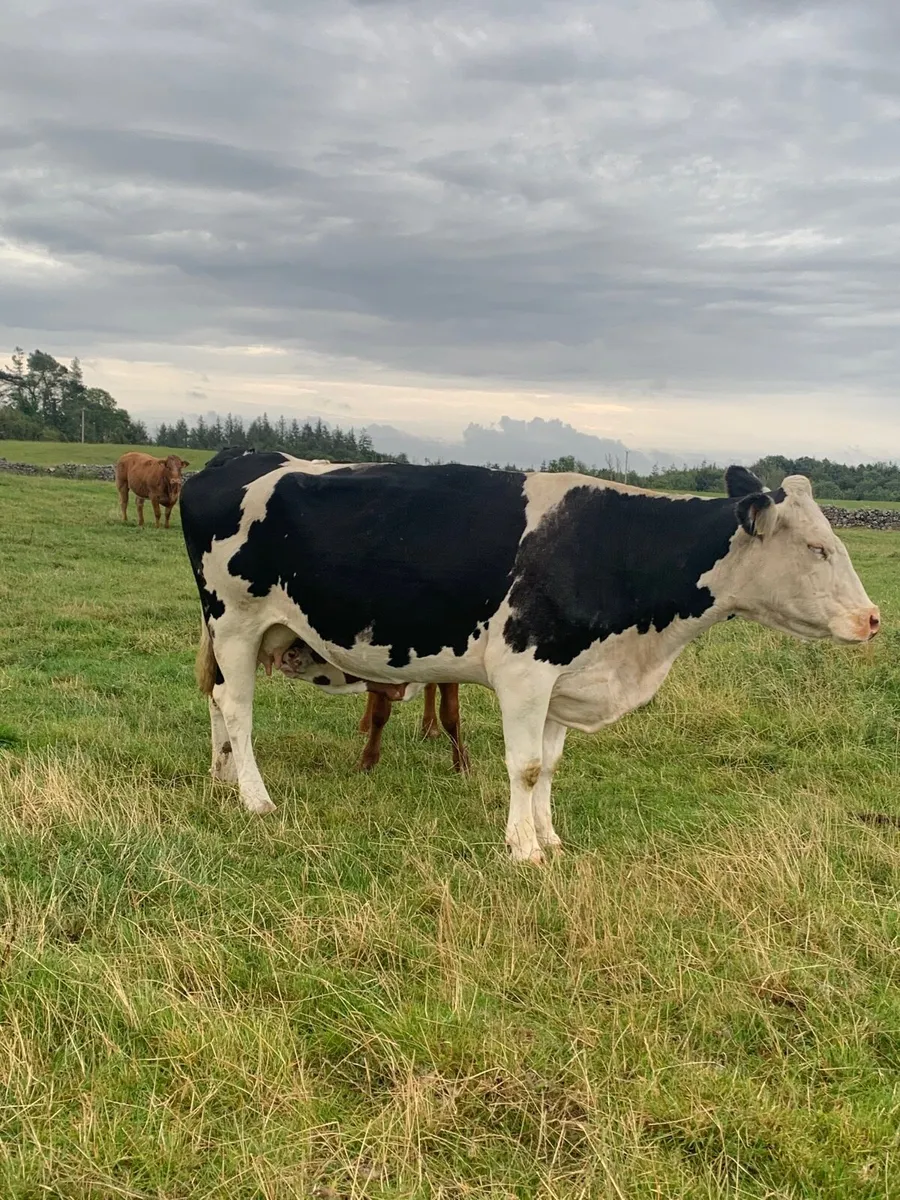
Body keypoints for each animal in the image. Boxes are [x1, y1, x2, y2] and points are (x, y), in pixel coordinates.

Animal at [180, 454, 880, 864]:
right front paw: (523, 849)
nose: (872, 618)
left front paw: (550, 837)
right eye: (818, 548)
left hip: (251, 633)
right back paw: (255, 798)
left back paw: (221, 776)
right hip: (237, 619)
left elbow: (550, 768)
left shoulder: (566, 680)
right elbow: (525, 765)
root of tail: (239, 458)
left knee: (216, 699)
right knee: (238, 707)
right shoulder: (523, 669)